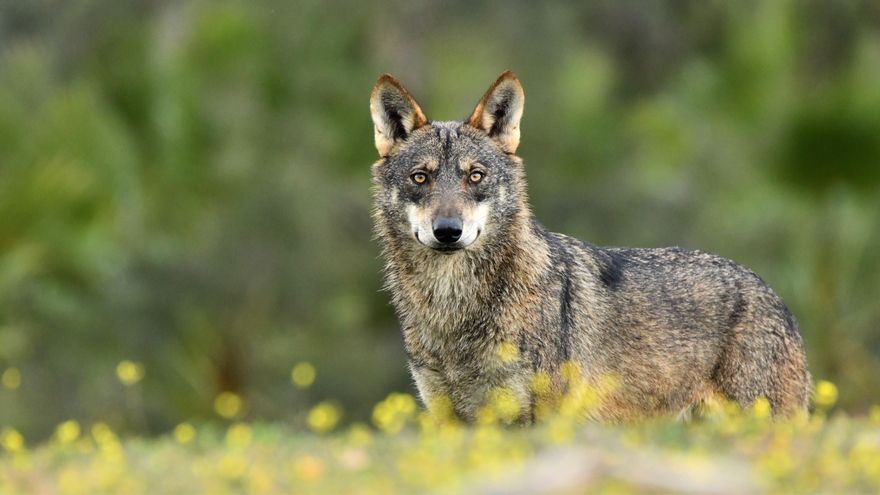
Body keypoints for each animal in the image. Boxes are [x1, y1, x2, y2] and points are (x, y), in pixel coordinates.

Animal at [369, 71, 810, 423]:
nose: (448, 231)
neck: (454, 310)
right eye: (421, 177)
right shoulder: (450, 420)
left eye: (475, 176)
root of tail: (774, 295)